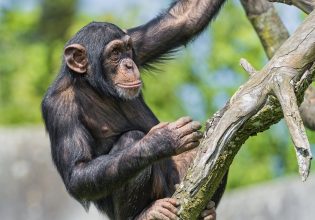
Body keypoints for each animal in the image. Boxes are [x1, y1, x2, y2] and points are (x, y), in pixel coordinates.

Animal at [42, 0, 228, 219]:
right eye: (114, 53)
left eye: (126, 49)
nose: (129, 64)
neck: (93, 85)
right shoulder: (58, 109)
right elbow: (77, 172)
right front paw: (161, 140)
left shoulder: (138, 42)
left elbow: (184, 20)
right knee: (131, 139)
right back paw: (147, 212)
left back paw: (207, 211)